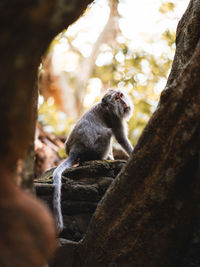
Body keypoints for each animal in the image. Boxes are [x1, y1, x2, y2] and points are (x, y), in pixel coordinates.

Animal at [53, 89, 133, 232]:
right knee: (108, 132)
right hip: (94, 149)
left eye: (120, 95)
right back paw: (104, 158)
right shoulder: (115, 118)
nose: (124, 103)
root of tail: (75, 150)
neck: (108, 107)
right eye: (117, 99)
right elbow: (121, 138)